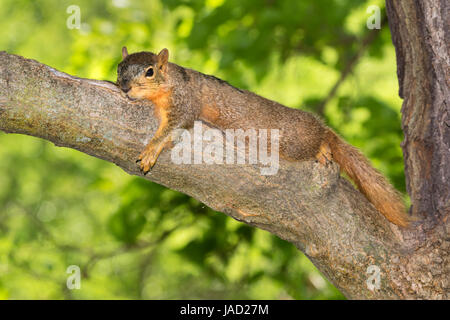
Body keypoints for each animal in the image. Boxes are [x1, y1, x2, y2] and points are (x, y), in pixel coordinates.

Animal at [117, 47, 412, 228]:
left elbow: (173, 127)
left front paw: (151, 149)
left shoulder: (184, 102)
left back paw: (322, 149)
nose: (124, 87)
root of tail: (319, 126)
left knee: (319, 143)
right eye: (119, 68)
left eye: (150, 71)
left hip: (295, 142)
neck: (169, 83)